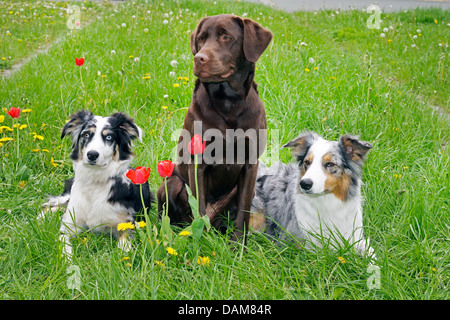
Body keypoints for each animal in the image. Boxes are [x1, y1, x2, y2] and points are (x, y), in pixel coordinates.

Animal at [156, 14, 272, 242]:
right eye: (201, 38)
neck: (228, 102)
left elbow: (243, 212)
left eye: (226, 37)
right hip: (171, 182)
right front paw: (201, 240)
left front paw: (238, 245)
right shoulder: (197, 162)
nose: (199, 58)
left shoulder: (250, 165)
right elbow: (199, 207)